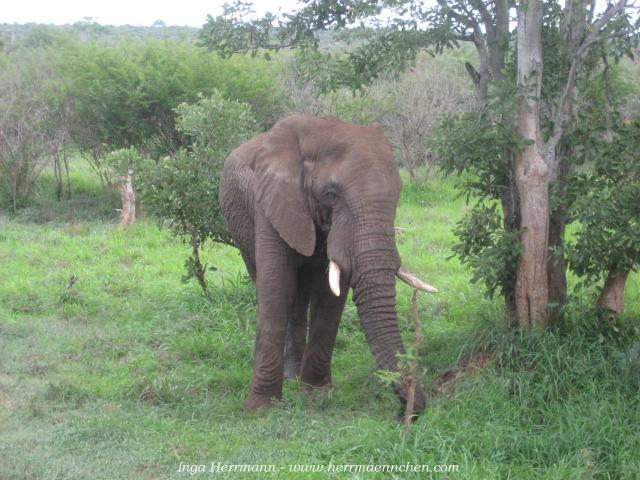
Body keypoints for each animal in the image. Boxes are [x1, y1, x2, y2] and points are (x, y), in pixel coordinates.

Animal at [218, 114, 438, 414]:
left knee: (299, 295)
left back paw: (294, 375)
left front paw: (316, 396)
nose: (410, 410)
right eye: (331, 194)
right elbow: (275, 288)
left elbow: (330, 296)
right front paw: (260, 409)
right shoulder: (272, 202)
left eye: (398, 194)